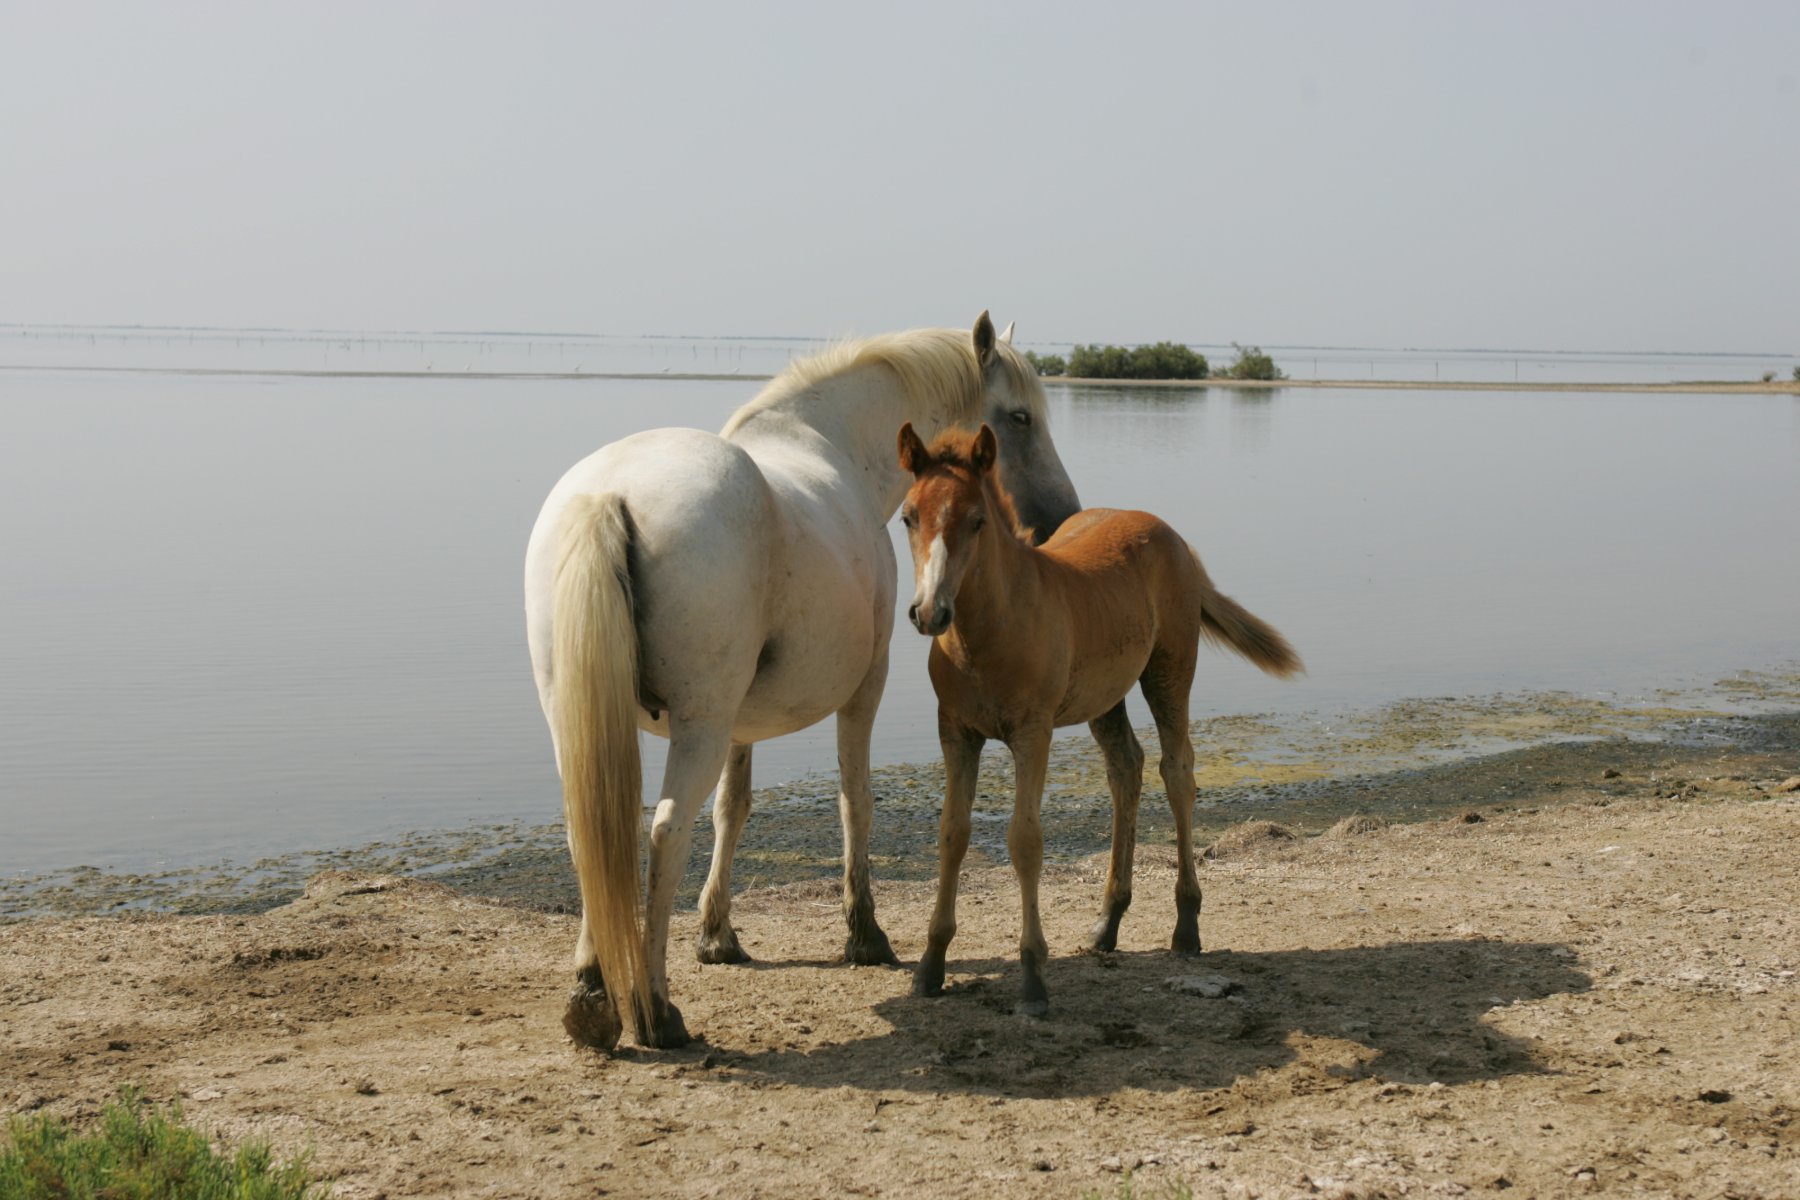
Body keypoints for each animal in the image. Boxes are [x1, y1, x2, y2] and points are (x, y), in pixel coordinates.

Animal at [524, 312, 1084, 1050]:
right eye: (1020, 416)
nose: (1060, 519)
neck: (829, 444)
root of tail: (609, 494)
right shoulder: (866, 686)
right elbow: (856, 800)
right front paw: (865, 934)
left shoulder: (741, 721)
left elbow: (733, 809)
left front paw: (717, 935)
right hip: (697, 726)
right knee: (664, 832)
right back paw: (656, 1012)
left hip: (586, 721)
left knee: (594, 834)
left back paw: (591, 998)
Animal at [895, 422, 1303, 1017]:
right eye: (908, 516)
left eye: (976, 520)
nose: (930, 612)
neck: (987, 632)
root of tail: (1172, 536)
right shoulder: (956, 731)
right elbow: (953, 834)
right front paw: (929, 967)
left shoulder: (1032, 733)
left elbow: (1025, 840)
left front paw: (1033, 980)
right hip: (1106, 699)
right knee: (1126, 768)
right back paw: (1108, 922)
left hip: (1169, 671)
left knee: (1177, 772)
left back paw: (1186, 926)